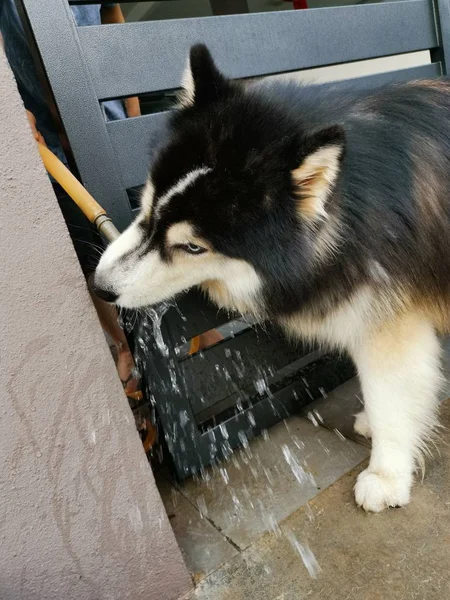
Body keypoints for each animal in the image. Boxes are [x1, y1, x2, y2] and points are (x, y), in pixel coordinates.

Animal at [92, 44, 450, 510]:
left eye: (193, 247)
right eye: (148, 203)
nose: (99, 287)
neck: (354, 205)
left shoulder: (390, 321)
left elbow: (389, 394)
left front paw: (387, 473)